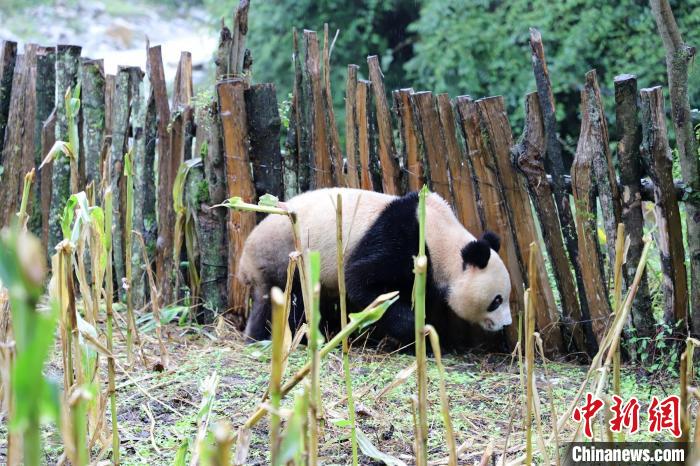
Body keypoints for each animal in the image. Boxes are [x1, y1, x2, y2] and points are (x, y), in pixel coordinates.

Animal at [238, 187, 512, 348]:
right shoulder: (400, 240)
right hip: (285, 256)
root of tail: (243, 260)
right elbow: (361, 281)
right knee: (290, 300)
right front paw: (417, 331)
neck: (441, 237)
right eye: (497, 300)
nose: (507, 324)